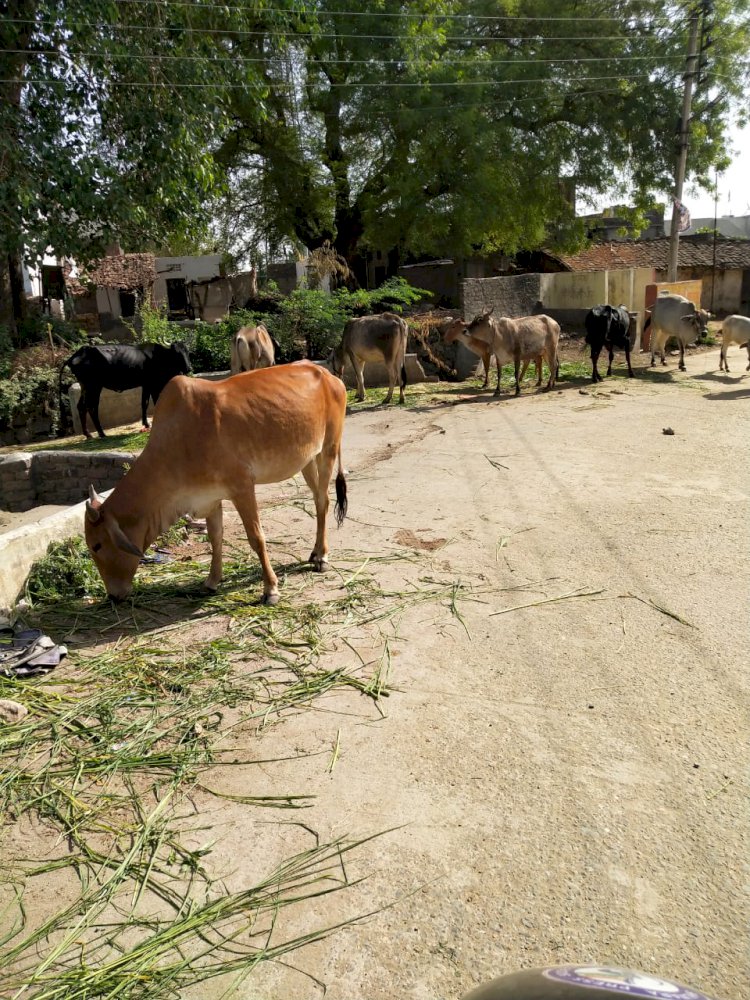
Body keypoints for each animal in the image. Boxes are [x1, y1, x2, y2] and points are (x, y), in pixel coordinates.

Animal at [60, 344, 192, 438]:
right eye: (178, 354)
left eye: (188, 352)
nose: (189, 368)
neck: (159, 357)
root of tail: (80, 352)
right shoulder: (152, 384)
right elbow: (153, 402)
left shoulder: (146, 385)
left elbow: (144, 403)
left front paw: (146, 424)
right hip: (93, 386)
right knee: (91, 407)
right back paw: (101, 433)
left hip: (86, 387)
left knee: (81, 406)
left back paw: (88, 434)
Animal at [85, 364, 350, 604]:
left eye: (97, 545)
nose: (113, 596)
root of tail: (328, 375)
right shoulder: (210, 497)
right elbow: (215, 537)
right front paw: (211, 582)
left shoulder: (242, 487)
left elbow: (256, 537)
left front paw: (271, 590)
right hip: (307, 460)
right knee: (317, 499)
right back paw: (315, 552)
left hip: (328, 450)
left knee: (323, 500)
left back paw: (322, 557)